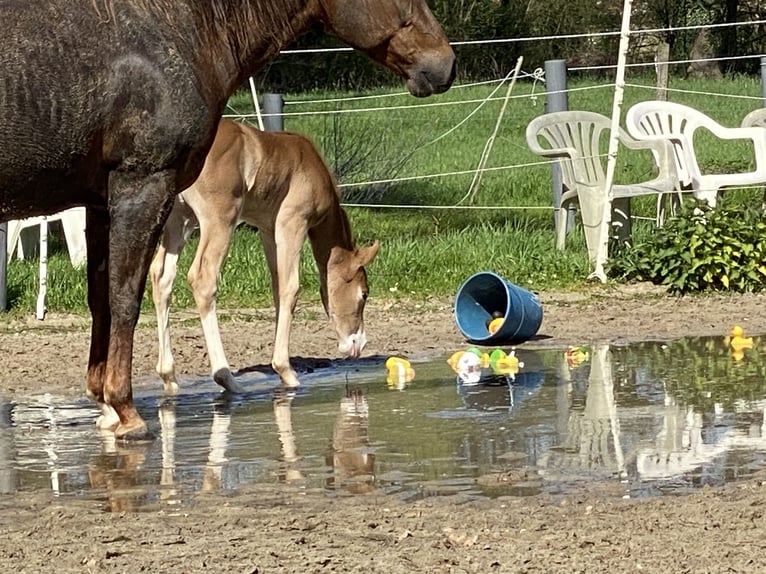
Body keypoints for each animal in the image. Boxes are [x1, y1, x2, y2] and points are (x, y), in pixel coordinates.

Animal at [148, 121, 380, 392]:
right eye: (364, 294)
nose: (358, 344)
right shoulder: (292, 222)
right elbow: (291, 288)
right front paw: (287, 372)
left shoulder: (268, 230)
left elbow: (277, 286)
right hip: (219, 219)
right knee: (203, 278)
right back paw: (226, 378)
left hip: (179, 219)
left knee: (161, 274)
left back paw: (169, 377)